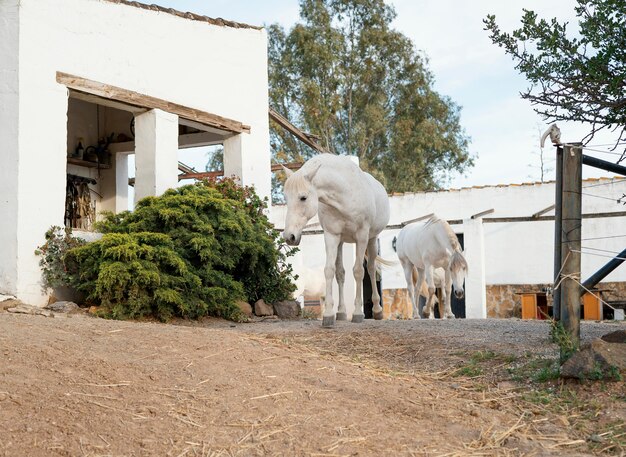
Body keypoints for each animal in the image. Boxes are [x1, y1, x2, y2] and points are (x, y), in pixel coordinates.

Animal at [280, 155, 388, 326]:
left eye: (303, 197)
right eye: (286, 198)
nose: (289, 237)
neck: (344, 194)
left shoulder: (362, 237)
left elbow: (359, 271)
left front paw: (358, 313)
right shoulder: (331, 236)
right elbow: (330, 271)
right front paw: (329, 314)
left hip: (371, 240)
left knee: (371, 269)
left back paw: (377, 310)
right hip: (341, 242)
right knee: (341, 273)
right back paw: (341, 312)